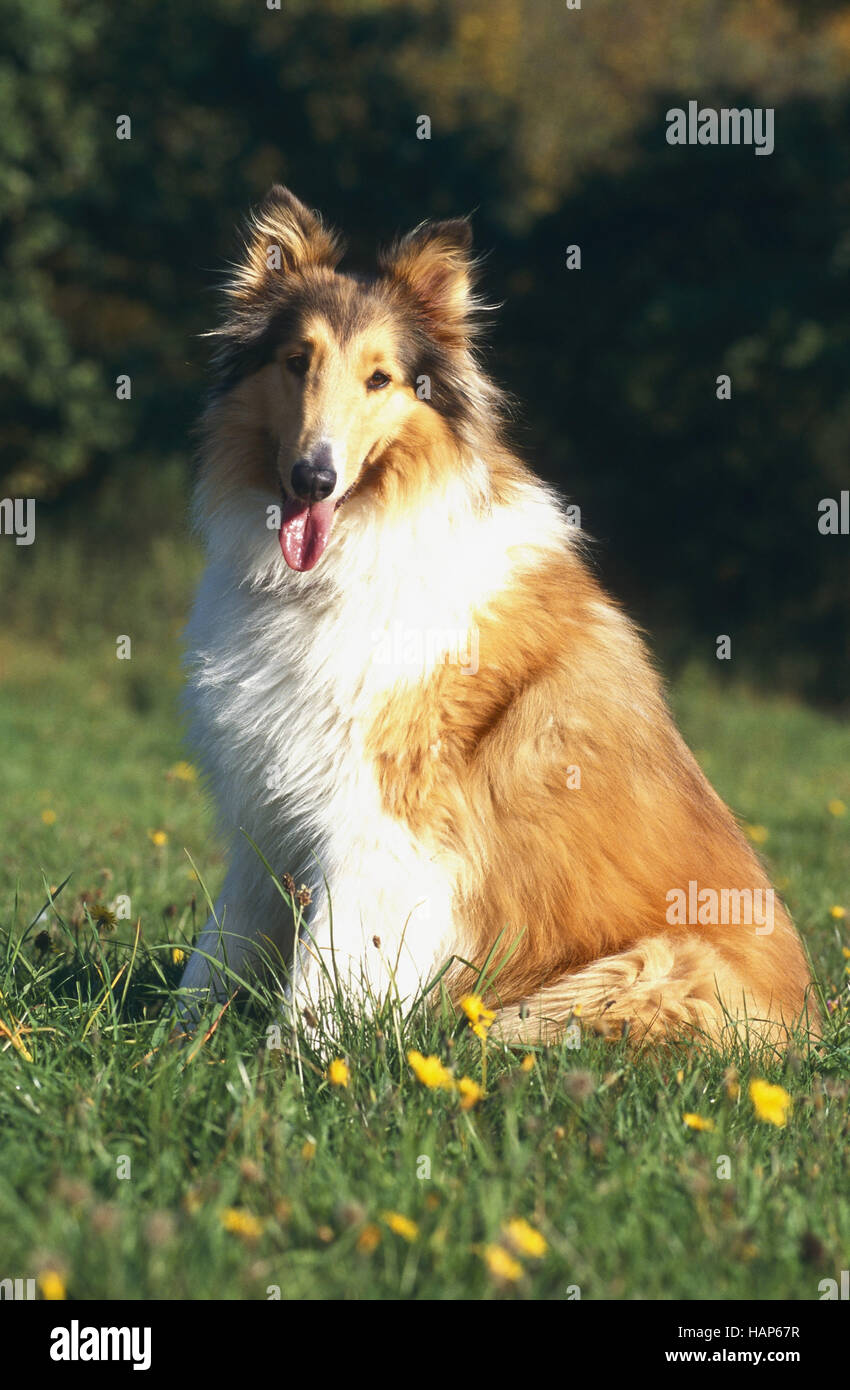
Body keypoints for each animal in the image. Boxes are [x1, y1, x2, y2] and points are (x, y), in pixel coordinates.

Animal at [179, 190, 816, 1045]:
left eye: (380, 378)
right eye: (296, 362)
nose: (313, 479)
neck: (355, 554)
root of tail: (808, 1022)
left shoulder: (382, 820)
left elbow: (325, 969)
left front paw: (292, 1060)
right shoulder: (268, 806)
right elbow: (221, 945)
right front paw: (179, 1043)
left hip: (636, 974)